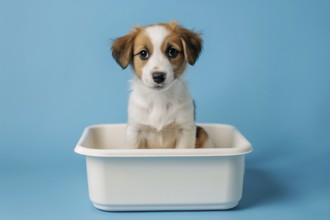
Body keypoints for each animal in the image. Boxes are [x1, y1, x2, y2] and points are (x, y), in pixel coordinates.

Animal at [112, 21, 213, 149]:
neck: (159, 99)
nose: (158, 76)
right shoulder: (135, 131)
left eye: (172, 51)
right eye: (143, 53)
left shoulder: (185, 130)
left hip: (203, 134)